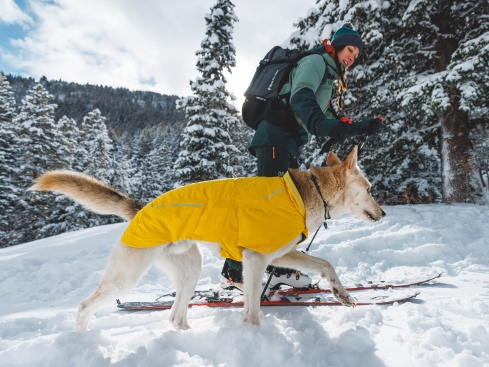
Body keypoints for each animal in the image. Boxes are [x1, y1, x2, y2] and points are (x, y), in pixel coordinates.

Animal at [30, 147, 386, 334]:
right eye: (369, 188)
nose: (383, 213)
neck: (302, 194)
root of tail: (139, 208)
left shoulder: (279, 255)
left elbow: (326, 264)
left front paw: (342, 295)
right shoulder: (256, 260)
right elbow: (253, 309)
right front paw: (253, 336)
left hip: (190, 271)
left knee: (175, 316)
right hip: (126, 278)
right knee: (84, 306)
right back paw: (83, 338)